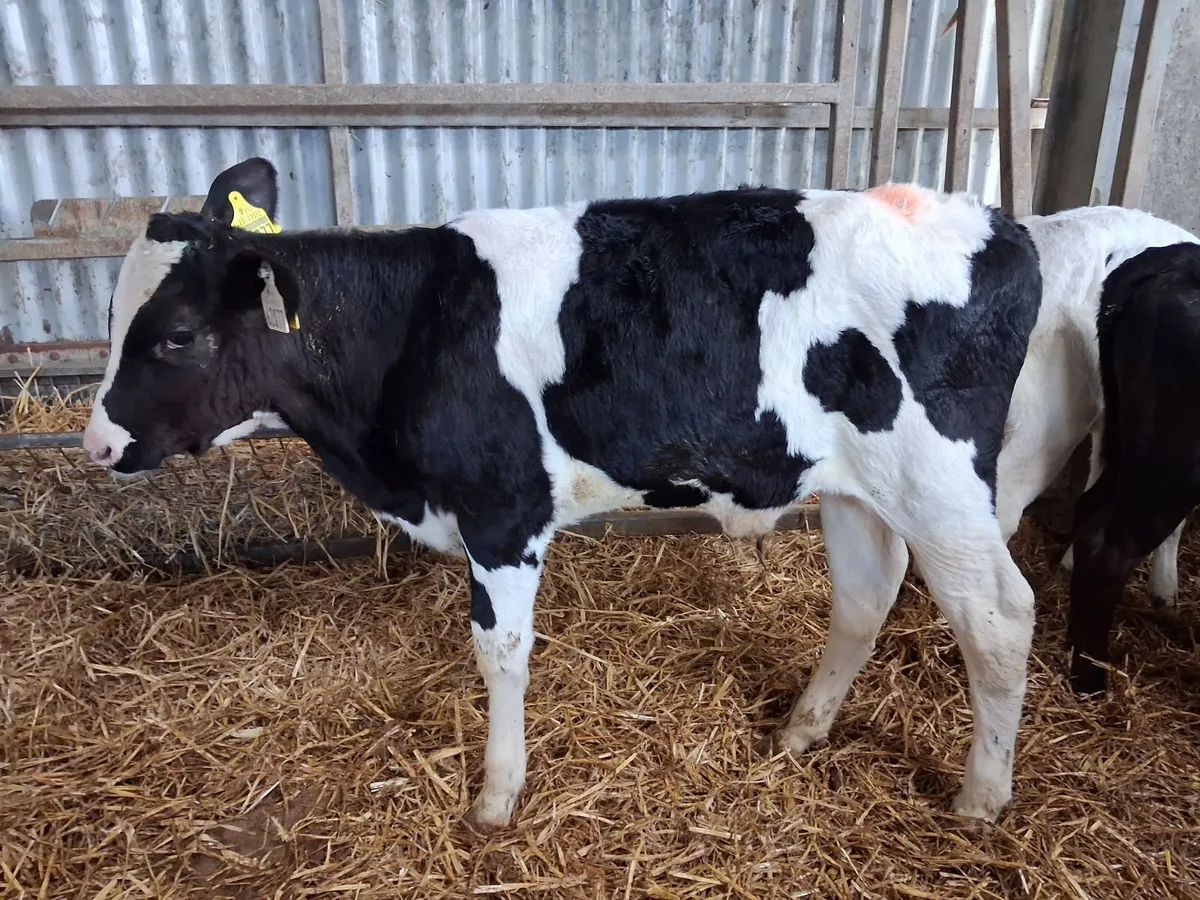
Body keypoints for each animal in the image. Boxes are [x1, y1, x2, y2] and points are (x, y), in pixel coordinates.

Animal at [82, 158, 1042, 829]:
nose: (98, 444)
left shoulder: (504, 513)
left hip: (941, 483)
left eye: (176, 336)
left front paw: (497, 796)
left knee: (998, 615)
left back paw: (981, 796)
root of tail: (996, 222)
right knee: (866, 594)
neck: (414, 325)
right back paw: (803, 729)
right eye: (115, 317)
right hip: (853, 483)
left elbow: (500, 652)